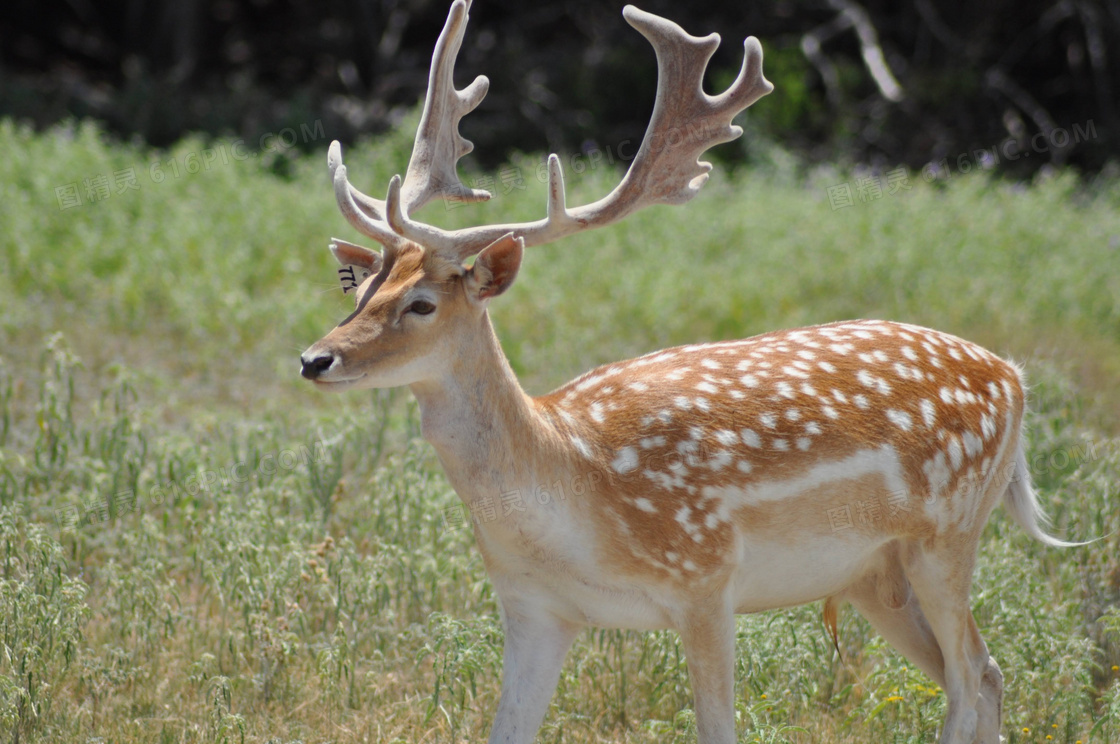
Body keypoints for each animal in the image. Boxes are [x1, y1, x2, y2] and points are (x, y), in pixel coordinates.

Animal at [300, 2, 1075, 739]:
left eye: (422, 304)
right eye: (358, 289)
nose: (314, 359)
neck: (572, 481)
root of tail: (1013, 377)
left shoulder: (706, 580)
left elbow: (717, 727)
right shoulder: (532, 607)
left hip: (949, 533)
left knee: (971, 679)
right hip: (874, 574)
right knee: (986, 675)